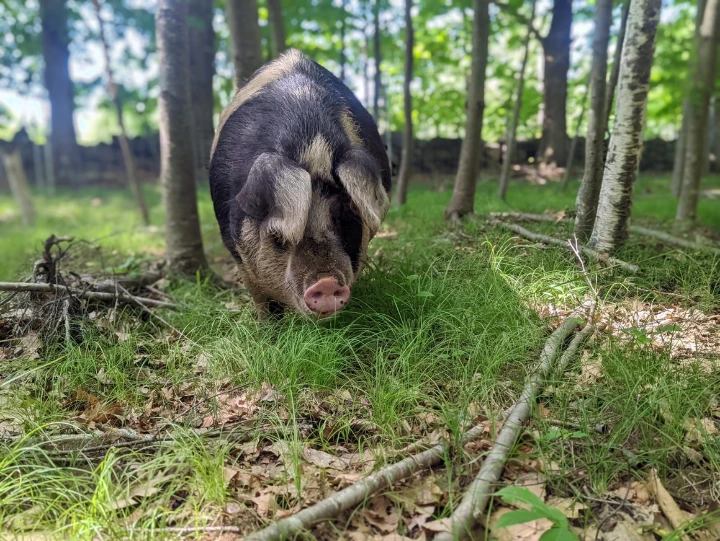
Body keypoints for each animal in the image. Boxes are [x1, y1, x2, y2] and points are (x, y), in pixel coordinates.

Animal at [209, 49, 392, 319]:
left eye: (346, 216)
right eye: (277, 237)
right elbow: (261, 297)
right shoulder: (233, 243)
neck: (313, 145)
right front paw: (269, 326)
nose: (326, 283)